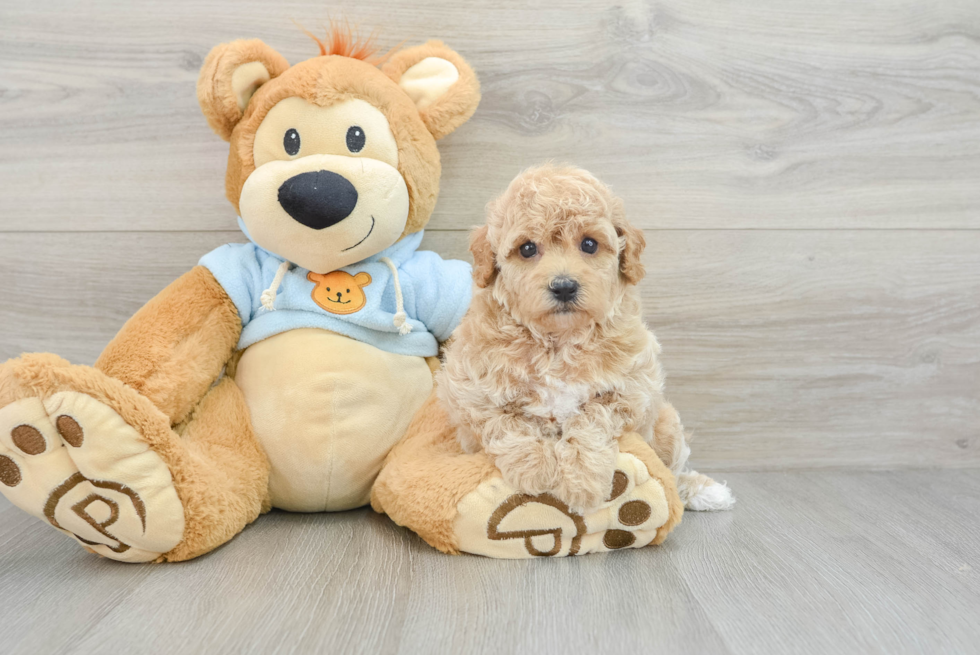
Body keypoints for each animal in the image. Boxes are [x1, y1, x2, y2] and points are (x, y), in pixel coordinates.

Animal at [438, 163, 736, 512]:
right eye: (527, 248)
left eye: (589, 244)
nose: (564, 286)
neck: (558, 342)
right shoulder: (472, 393)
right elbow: (508, 425)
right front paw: (535, 468)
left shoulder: (629, 389)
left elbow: (591, 419)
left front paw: (582, 482)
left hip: (666, 423)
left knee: (672, 472)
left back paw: (704, 491)